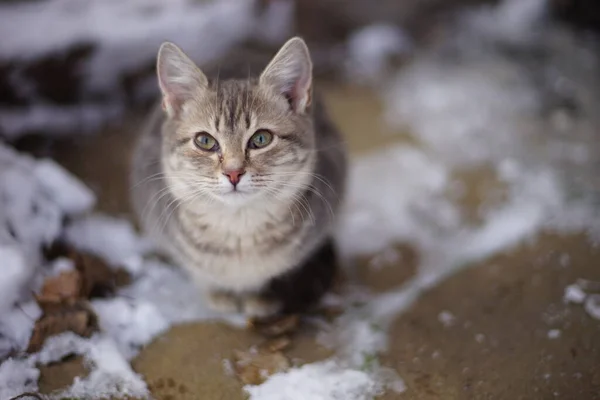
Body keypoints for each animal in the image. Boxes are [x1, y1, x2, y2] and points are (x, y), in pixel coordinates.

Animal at [131, 38, 346, 318]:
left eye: (261, 138)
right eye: (205, 141)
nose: (233, 172)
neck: (239, 231)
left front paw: (259, 297)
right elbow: (199, 270)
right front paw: (218, 293)